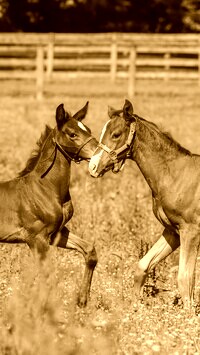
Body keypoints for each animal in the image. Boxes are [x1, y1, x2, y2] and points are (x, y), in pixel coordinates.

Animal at [0, 101, 98, 308]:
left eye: (88, 129)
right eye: (72, 134)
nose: (100, 154)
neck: (45, 188)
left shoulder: (56, 233)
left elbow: (89, 251)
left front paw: (82, 300)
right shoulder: (36, 238)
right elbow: (47, 275)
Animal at [90, 100, 200, 308]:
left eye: (116, 134)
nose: (92, 166)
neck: (174, 175)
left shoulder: (191, 231)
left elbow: (185, 279)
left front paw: (187, 315)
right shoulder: (172, 231)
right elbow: (142, 266)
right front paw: (135, 307)